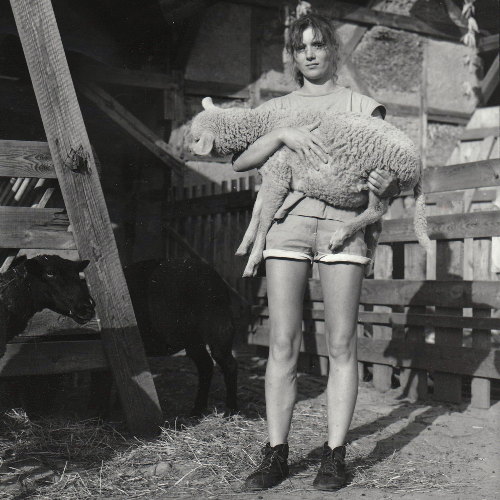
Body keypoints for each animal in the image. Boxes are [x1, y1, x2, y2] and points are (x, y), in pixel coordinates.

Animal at [92, 258, 240, 418]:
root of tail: (218, 281)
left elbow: (103, 379)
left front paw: (101, 412)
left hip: (217, 330)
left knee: (228, 364)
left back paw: (230, 410)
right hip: (193, 339)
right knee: (206, 366)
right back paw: (197, 410)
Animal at [189, 97, 432, 278]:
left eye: (194, 138)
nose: (188, 151)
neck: (267, 126)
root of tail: (418, 162)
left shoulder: (278, 174)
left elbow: (265, 219)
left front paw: (253, 261)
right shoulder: (270, 175)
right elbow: (257, 211)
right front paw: (244, 245)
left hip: (381, 177)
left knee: (376, 211)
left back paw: (340, 235)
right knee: (377, 226)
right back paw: (369, 263)